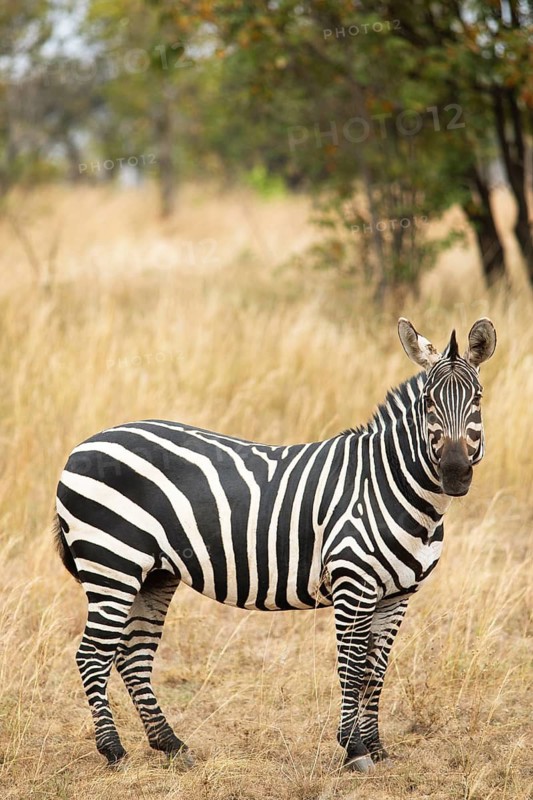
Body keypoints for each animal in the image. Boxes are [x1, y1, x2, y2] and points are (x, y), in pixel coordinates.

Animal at [54, 317, 496, 773]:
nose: (455, 474)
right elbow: (352, 665)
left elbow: (376, 669)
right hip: (113, 564)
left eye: (478, 399)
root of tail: (84, 445)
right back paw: (113, 750)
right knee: (93, 655)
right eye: (428, 402)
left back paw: (171, 744)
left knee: (134, 656)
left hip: (154, 574)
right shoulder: (352, 582)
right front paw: (354, 749)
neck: (389, 484)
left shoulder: (398, 594)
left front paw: (376, 747)